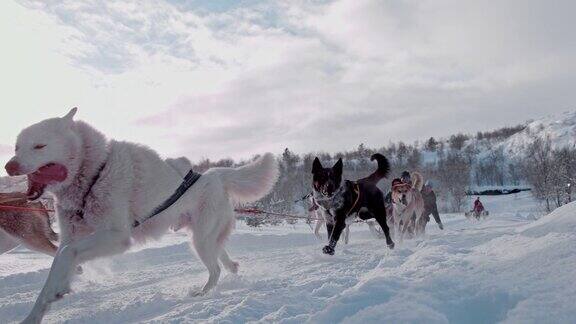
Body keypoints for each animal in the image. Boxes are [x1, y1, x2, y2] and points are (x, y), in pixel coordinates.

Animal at [4, 107, 280, 322]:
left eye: (39, 146)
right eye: (17, 147)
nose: (9, 166)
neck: (94, 173)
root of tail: (214, 174)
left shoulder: (116, 237)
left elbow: (66, 256)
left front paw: (59, 289)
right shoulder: (71, 237)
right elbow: (55, 269)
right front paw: (34, 314)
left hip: (200, 241)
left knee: (215, 269)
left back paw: (202, 292)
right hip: (204, 239)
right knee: (223, 258)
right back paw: (233, 270)